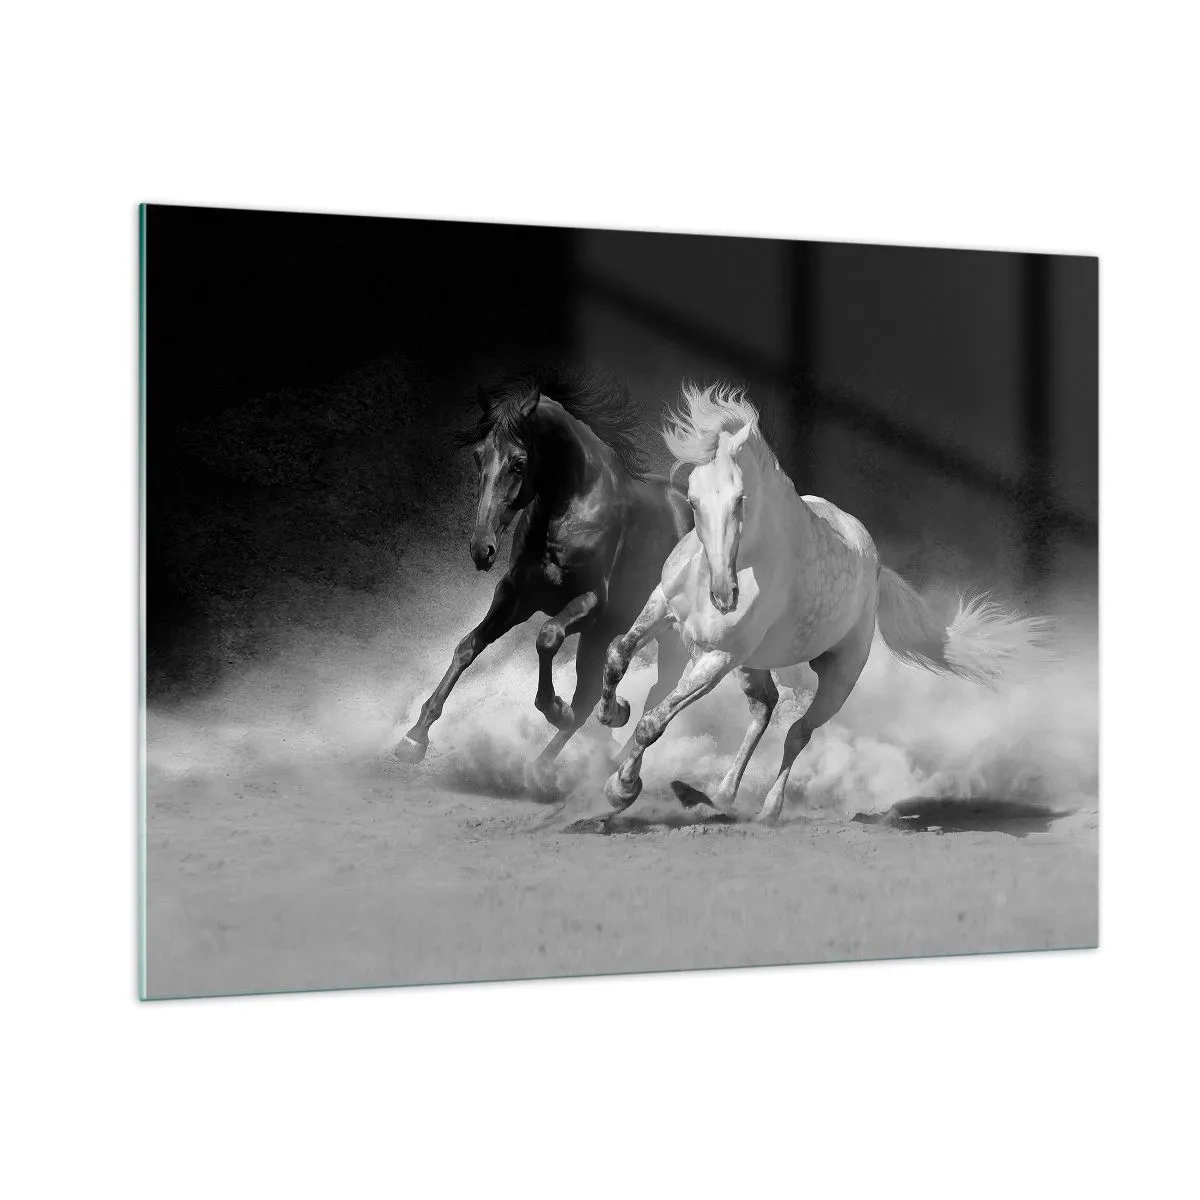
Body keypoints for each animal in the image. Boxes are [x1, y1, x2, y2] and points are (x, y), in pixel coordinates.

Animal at [394, 365, 694, 791]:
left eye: (519, 462)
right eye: (478, 457)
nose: (482, 550)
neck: (571, 508)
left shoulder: (591, 604)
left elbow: (547, 637)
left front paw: (554, 707)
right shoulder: (517, 595)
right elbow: (469, 646)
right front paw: (414, 737)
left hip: (663, 634)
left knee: (656, 691)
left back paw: (604, 760)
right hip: (603, 635)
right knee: (591, 694)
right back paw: (558, 760)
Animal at [597, 381, 1053, 823]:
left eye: (741, 498)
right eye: (693, 500)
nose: (724, 596)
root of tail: (876, 569)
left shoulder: (718, 657)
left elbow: (653, 722)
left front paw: (621, 789)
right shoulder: (662, 606)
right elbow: (618, 653)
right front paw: (611, 713)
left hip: (838, 675)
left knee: (797, 731)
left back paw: (765, 808)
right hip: (753, 662)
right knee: (765, 708)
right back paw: (717, 796)